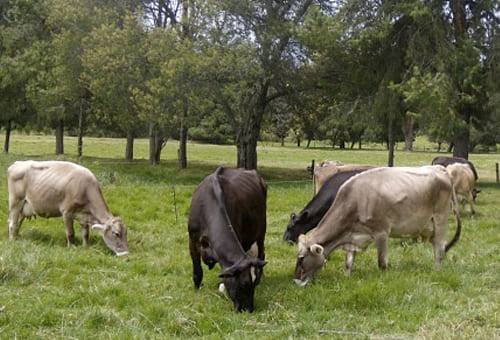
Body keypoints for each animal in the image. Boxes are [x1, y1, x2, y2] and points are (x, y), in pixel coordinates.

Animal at [188, 166, 268, 312]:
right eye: (244, 284)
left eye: (254, 286)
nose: (249, 310)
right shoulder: (192, 240)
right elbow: (197, 271)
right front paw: (197, 289)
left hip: (261, 231)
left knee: (261, 253)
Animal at [292, 166, 460, 286]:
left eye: (301, 258)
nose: (296, 281)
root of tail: (440, 168)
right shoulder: (353, 237)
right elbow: (348, 262)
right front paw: (347, 278)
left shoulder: (382, 232)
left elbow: (382, 263)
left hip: (440, 218)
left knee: (439, 247)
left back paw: (436, 270)